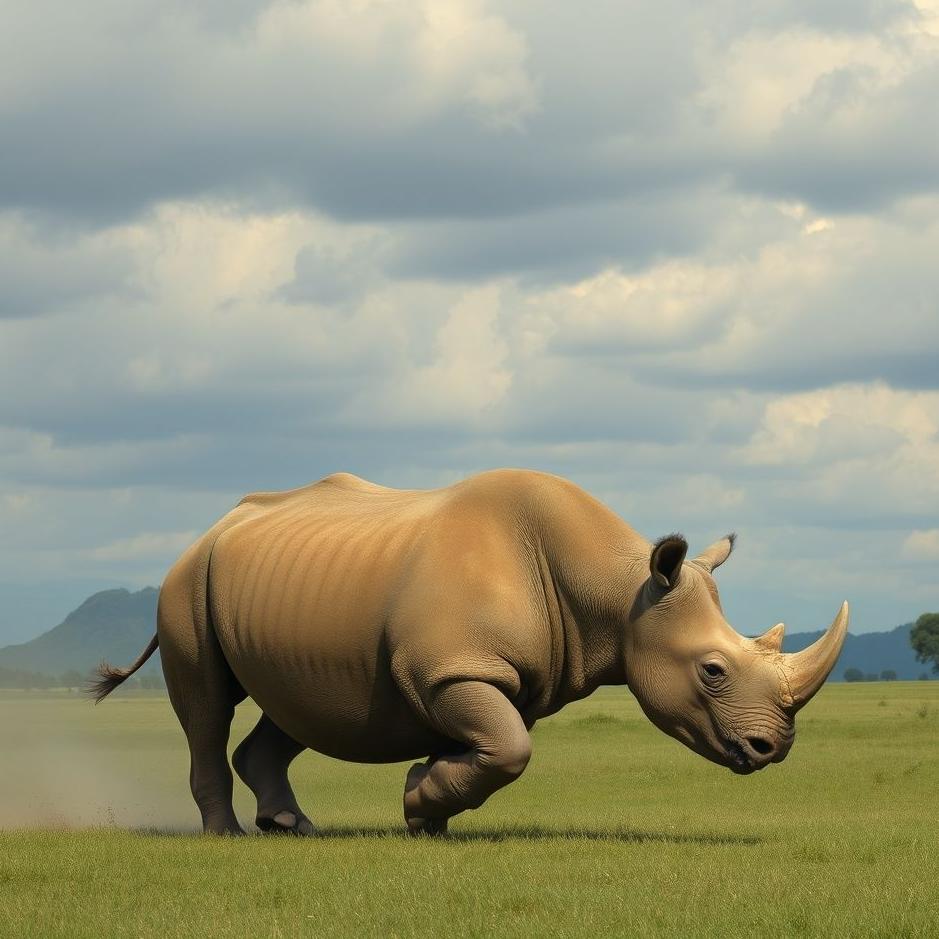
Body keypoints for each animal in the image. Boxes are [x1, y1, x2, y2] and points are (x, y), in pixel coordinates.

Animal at [92, 469, 848, 835]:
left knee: (297, 706)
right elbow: (508, 748)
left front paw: (426, 809)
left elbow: (491, 748)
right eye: (712, 671)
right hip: (186, 584)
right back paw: (228, 837)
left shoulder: (501, 673)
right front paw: (415, 801)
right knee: (206, 704)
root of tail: (208, 530)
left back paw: (291, 826)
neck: (618, 588)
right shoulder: (451, 669)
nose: (771, 749)